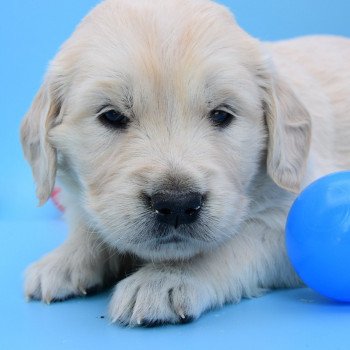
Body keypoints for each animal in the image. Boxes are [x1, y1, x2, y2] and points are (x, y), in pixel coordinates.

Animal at [21, 0, 350, 326]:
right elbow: (88, 225)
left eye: (221, 114)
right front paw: (63, 261)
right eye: (112, 115)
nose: (177, 204)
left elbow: (229, 244)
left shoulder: (287, 220)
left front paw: (163, 278)